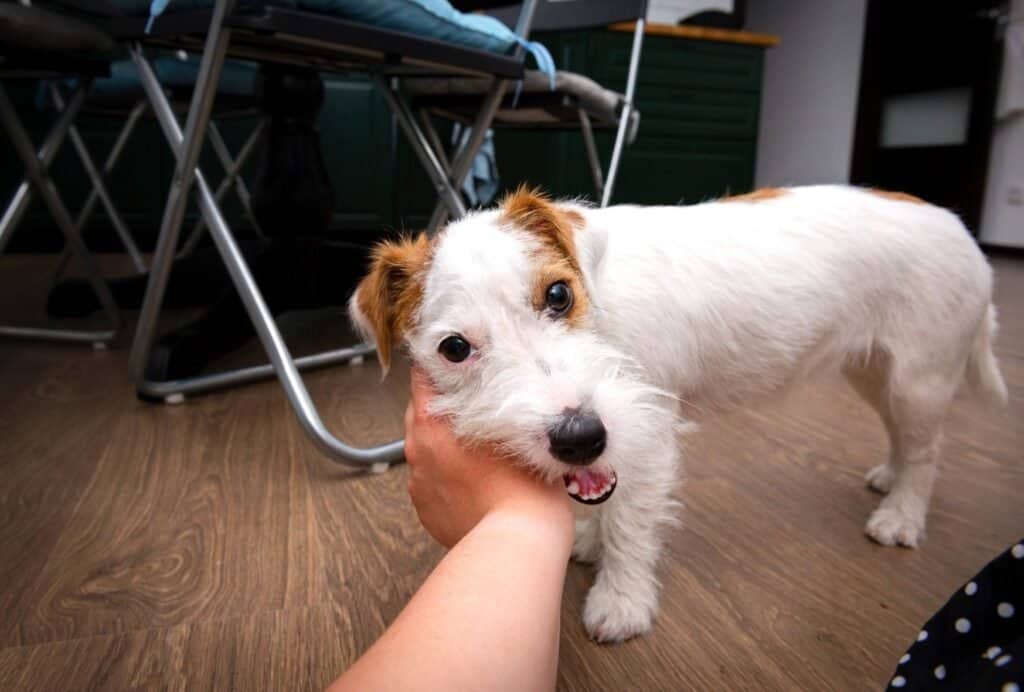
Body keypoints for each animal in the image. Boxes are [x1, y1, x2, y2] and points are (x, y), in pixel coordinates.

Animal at [348, 185, 1003, 642]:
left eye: (558, 295)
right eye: (454, 349)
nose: (580, 438)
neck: (604, 306)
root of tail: (965, 233)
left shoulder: (646, 433)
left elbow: (631, 525)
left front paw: (621, 600)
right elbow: (602, 501)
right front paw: (589, 538)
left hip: (920, 377)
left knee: (927, 450)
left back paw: (902, 515)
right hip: (872, 370)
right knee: (900, 434)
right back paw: (890, 479)